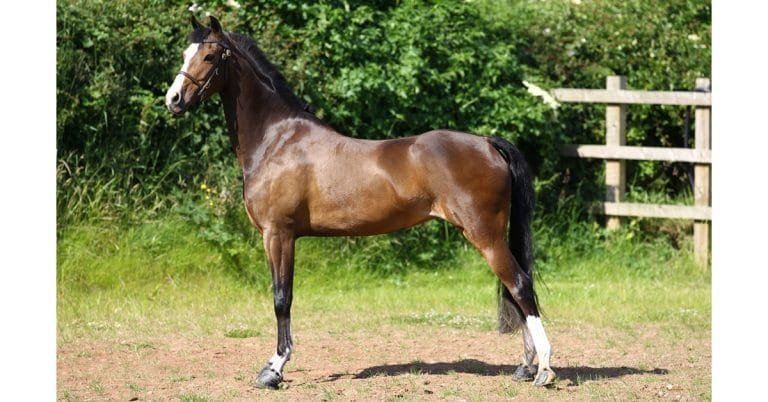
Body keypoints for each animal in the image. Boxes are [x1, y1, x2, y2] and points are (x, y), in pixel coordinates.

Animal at [165, 16, 556, 388]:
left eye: (209, 56)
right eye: (185, 53)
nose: (173, 100)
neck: (278, 141)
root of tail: (487, 143)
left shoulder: (278, 234)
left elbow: (281, 298)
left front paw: (274, 369)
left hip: (484, 235)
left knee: (520, 285)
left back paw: (544, 370)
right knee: (516, 290)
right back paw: (525, 367)